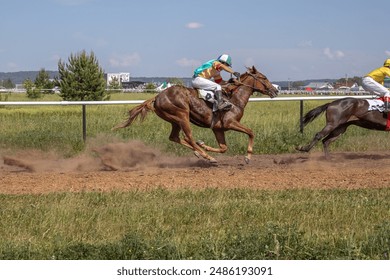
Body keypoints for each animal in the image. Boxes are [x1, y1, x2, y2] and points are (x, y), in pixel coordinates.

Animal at [114, 66, 278, 163]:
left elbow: (223, 148)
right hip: (182, 115)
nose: (275, 90)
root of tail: (157, 97)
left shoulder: (218, 128)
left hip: (174, 120)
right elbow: (251, 132)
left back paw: (200, 152)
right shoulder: (230, 123)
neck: (234, 99)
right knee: (189, 137)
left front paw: (204, 145)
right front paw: (248, 156)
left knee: (175, 137)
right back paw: (206, 156)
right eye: (264, 78)